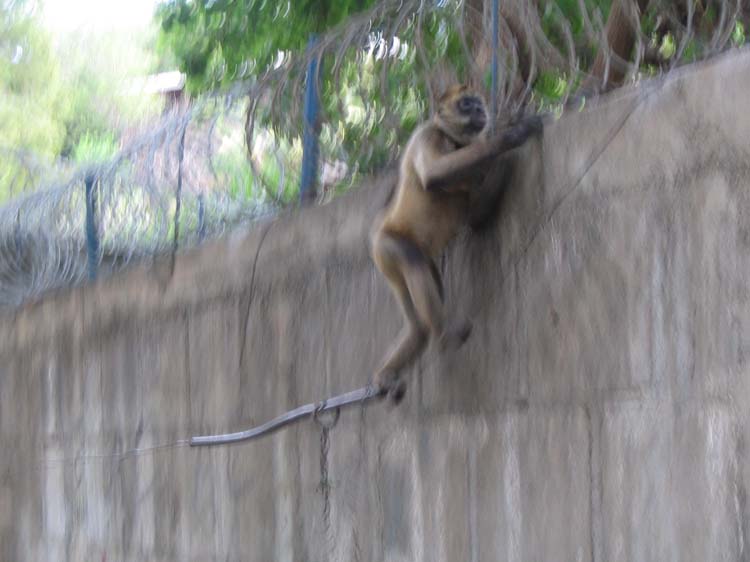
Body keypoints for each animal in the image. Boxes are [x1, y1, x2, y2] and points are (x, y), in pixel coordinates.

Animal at [370, 84, 543, 403]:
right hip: (387, 245)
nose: (480, 110)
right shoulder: (428, 134)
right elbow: (433, 175)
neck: (453, 140)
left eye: (477, 103)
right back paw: (443, 337)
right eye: (465, 105)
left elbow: (477, 218)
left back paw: (389, 372)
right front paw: (511, 135)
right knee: (412, 261)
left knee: (418, 325)